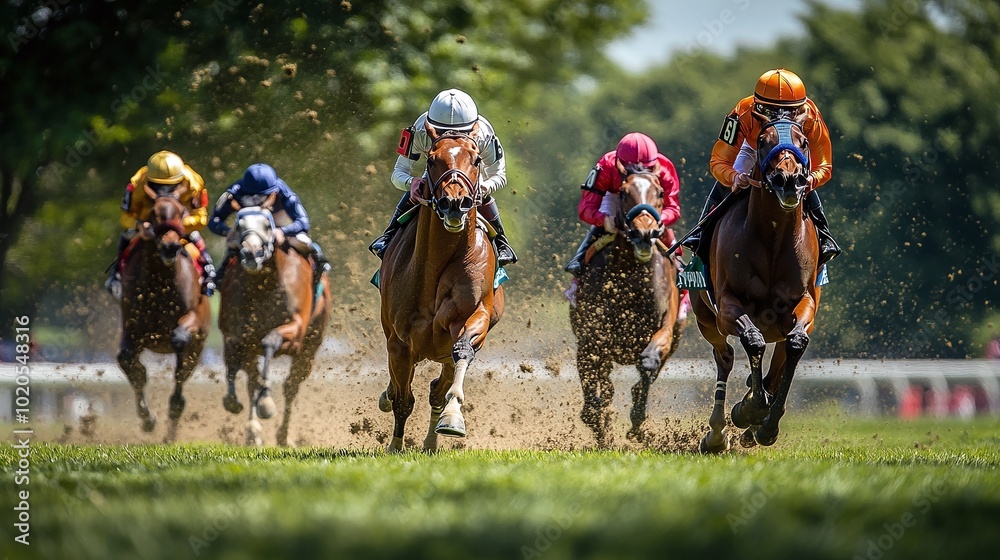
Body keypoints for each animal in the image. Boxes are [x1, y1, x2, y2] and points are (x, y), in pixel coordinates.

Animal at [117, 183, 211, 442]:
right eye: (153, 213)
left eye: (181, 212)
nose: (170, 247)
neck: (160, 282)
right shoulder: (133, 328)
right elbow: (129, 362)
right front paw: (147, 419)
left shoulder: (192, 319)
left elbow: (180, 338)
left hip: (198, 346)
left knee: (181, 376)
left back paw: (171, 432)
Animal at [218, 206, 332, 446]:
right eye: (238, 225)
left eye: (267, 225)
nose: (250, 254)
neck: (263, 286)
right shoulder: (239, 336)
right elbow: (241, 368)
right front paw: (238, 407)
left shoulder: (295, 332)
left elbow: (270, 341)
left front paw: (266, 402)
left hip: (309, 348)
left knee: (291, 386)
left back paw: (283, 436)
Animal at [376, 123, 504, 453]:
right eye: (432, 159)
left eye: (476, 160)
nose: (455, 203)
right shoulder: (400, 342)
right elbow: (403, 400)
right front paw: (395, 445)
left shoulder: (473, 318)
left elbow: (462, 352)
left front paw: (453, 417)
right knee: (400, 389)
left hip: (443, 351)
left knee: (437, 387)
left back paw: (432, 440)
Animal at [570, 171, 684, 447]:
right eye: (623, 193)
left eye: (661, 192)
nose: (644, 233)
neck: (630, 275)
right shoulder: (590, 339)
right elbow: (592, 403)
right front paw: (601, 427)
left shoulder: (666, 328)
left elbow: (649, 363)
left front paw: (637, 425)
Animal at [693, 118, 820, 453]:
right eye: (763, 141)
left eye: (804, 142)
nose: (789, 180)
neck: (773, 238)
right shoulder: (727, 306)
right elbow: (753, 341)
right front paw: (749, 409)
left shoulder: (804, 303)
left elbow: (796, 343)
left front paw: (766, 425)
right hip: (705, 318)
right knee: (725, 358)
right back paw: (717, 434)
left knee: (779, 362)